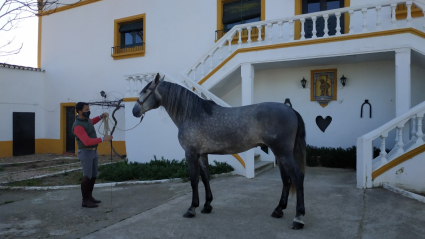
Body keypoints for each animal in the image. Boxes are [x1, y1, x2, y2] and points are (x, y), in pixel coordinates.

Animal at [132, 73, 304, 230]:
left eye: (146, 90)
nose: (134, 111)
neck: (192, 114)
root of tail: (290, 110)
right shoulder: (202, 154)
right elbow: (205, 178)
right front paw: (207, 205)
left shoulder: (190, 153)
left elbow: (194, 180)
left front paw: (192, 209)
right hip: (280, 154)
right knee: (286, 179)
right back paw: (278, 210)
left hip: (283, 153)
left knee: (297, 177)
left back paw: (298, 218)